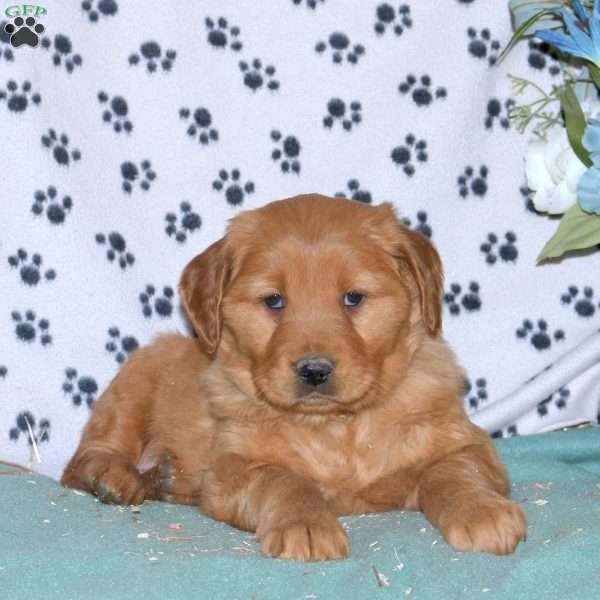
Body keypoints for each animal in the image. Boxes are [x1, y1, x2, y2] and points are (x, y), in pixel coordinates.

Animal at [62, 195, 524, 560]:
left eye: (353, 298)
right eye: (274, 301)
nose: (314, 370)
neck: (335, 428)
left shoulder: (470, 445)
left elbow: (450, 472)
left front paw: (483, 512)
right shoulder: (233, 470)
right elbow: (284, 480)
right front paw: (306, 526)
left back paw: (163, 479)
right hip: (137, 377)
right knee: (85, 457)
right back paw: (116, 478)